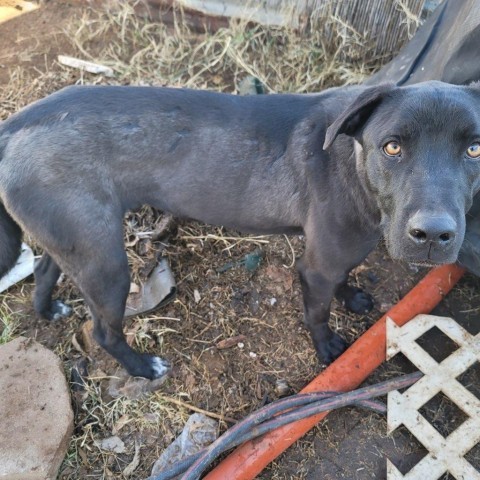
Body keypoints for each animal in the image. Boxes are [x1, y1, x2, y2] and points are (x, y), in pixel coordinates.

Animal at [0, 81, 480, 378]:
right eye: (392, 147)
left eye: (475, 149)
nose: (433, 236)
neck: (353, 160)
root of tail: (17, 122)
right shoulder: (317, 267)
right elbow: (318, 312)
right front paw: (327, 349)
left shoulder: (339, 255)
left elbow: (344, 278)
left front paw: (353, 297)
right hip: (106, 263)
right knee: (102, 331)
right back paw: (143, 368)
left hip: (74, 239)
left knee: (44, 268)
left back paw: (48, 310)